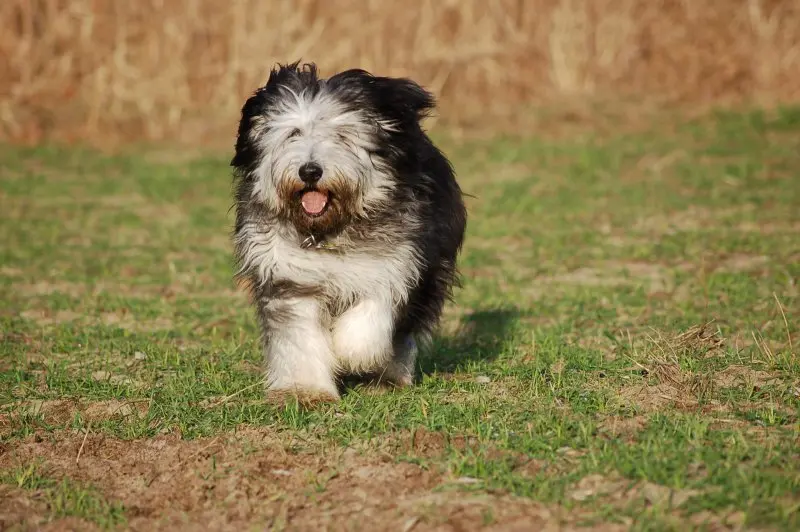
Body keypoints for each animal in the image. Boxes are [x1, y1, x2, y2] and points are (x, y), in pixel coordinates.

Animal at [230, 62, 468, 402]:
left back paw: (387, 378)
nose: (310, 171)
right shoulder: (290, 275)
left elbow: (366, 325)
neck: (330, 230)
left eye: (341, 135)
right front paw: (307, 390)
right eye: (293, 133)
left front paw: (348, 354)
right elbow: (299, 335)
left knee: (405, 332)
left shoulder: (392, 265)